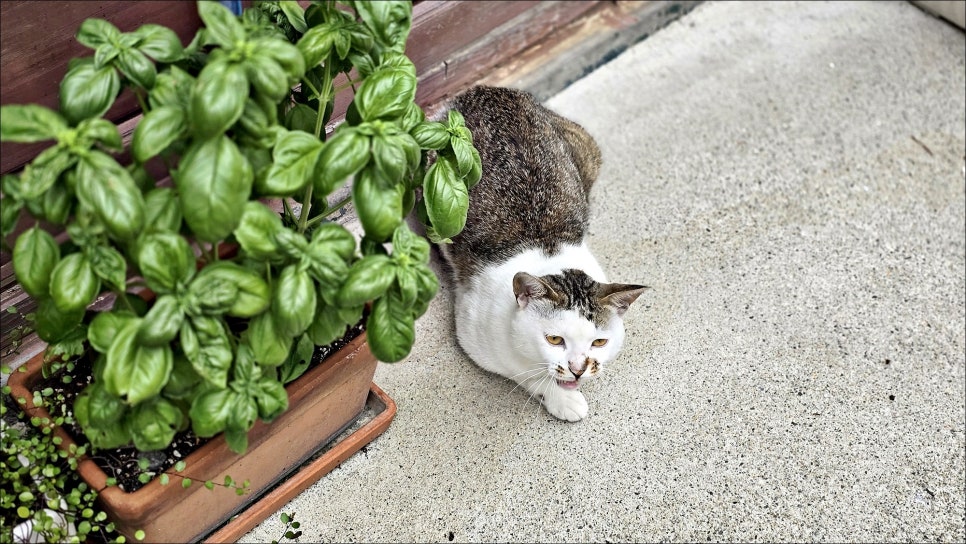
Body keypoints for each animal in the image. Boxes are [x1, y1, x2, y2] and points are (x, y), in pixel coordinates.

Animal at [438, 87, 652, 422]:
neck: (549, 252)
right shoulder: (472, 335)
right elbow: (527, 374)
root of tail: (484, 90)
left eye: (599, 341)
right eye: (554, 339)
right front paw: (563, 399)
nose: (578, 369)